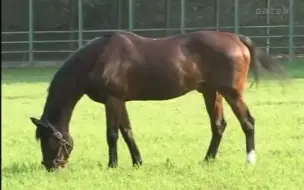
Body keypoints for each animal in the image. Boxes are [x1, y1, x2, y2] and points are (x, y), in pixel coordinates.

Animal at [29, 30, 284, 171]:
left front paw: (112, 165)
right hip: (212, 93)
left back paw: (250, 160)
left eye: (50, 140)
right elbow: (127, 132)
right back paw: (208, 160)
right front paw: (137, 162)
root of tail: (237, 38)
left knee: (248, 122)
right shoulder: (120, 101)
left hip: (232, 93)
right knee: (218, 126)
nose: (51, 167)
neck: (98, 58)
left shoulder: (113, 100)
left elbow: (112, 134)